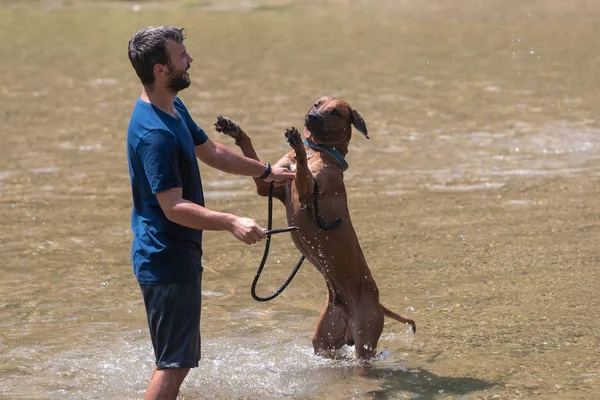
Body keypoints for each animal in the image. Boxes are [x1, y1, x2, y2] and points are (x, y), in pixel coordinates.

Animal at [216, 97, 418, 360]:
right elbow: (254, 155)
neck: (319, 151)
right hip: (325, 337)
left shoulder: (306, 195)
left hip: (365, 339)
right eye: (316, 104)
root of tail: (378, 303)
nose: (311, 117)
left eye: (336, 112)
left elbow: (302, 169)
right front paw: (234, 130)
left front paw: (297, 145)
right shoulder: (268, 184)